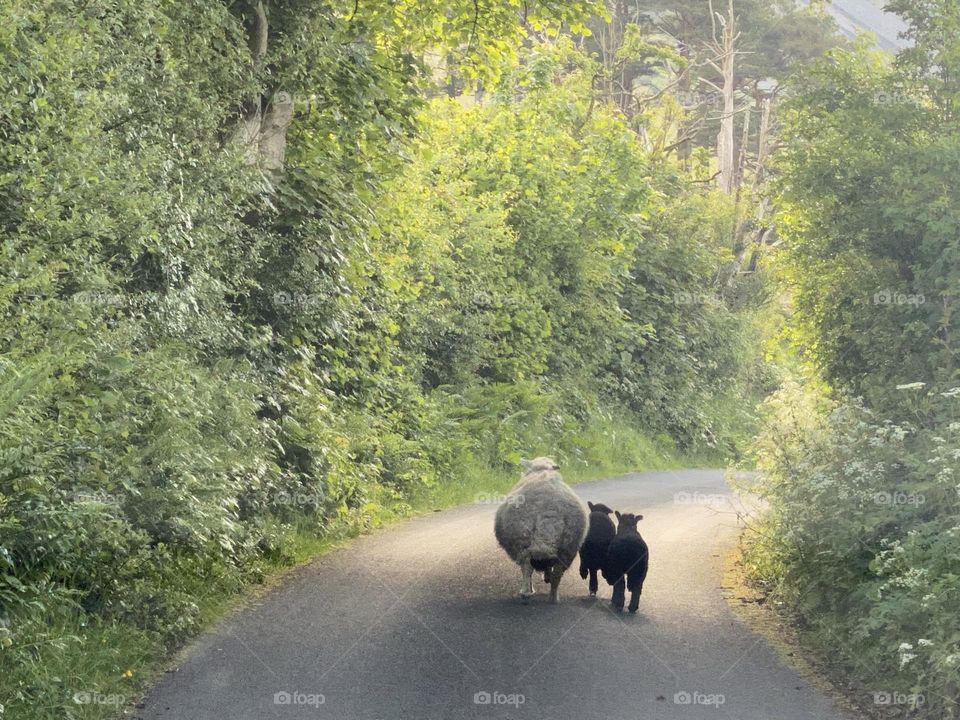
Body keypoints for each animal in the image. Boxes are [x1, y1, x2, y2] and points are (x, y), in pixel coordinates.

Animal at [494, 457, 588, 604]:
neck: (541, 470)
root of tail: (547, 513)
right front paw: (546, 577)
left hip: (522, 540)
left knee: (527, 567)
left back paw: (528, 592)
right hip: (566, 549)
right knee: (555, 575)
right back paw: (553, 598)